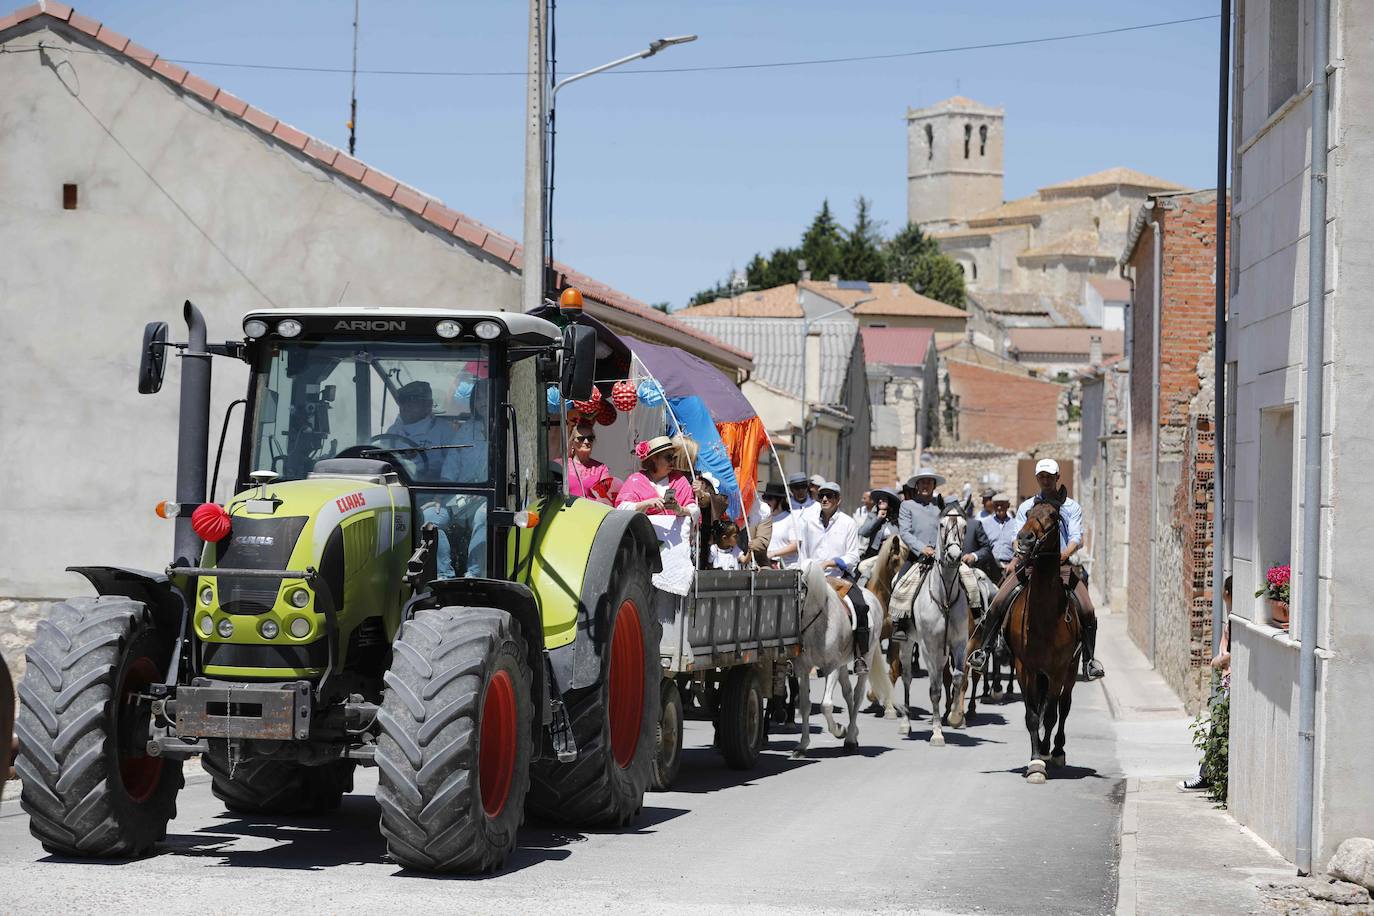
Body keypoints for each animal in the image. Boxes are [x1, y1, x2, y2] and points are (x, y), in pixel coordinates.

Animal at [791, 560, 895, 758]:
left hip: (866, 658)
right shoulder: (804, 669)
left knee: (858, 694)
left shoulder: (830, 667)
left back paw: (850, 739)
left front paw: (840, 730)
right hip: (842, 665)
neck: (818, 624)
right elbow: (805, 705)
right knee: (848, 694)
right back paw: (853, 732)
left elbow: (826, 705)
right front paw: (802, 745)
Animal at [895, 508, 972, 747]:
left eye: (965, 526)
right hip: (907, 645)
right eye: (941, 525)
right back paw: (906, 724)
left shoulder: (959, 644)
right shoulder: (929, 647)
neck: (944, 596)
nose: (954, 556)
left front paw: (955, 717)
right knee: (907, 678)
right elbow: (935, 690)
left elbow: (958, 678)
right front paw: (937, 733)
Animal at [1005, 497, 1077, 785]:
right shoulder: (1025, 668)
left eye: (1054, 516)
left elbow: (1051, 713)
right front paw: (1035, 761)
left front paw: (1044, 754)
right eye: (1027, 514)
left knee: (1063, 707)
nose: (1025, 539)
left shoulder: (1058, 670)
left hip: (1071, 669)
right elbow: (1032, 715)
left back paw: (1056, 750)